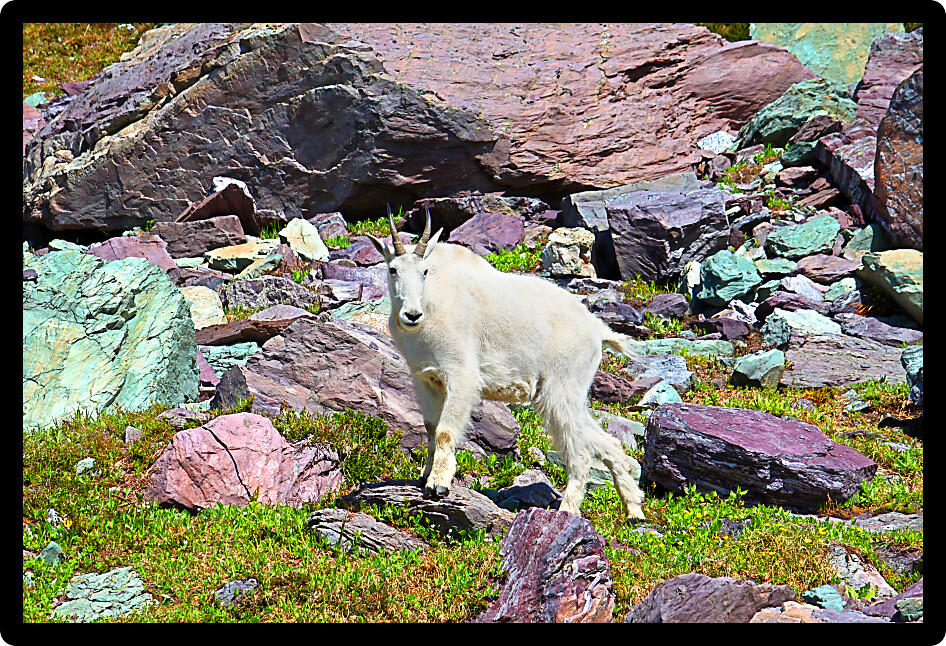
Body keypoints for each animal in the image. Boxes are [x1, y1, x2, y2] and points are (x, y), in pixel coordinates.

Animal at [367, 206, 646, 520]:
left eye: (424, 272)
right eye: (392, 270)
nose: (412, 315)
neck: (431, 308)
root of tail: (597, 330)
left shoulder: (461, 375)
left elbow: (445, 431)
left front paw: (438, 485)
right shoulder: (425, 379)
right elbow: (429, 428)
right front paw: (424, 476)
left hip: (561, 389)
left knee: (581, 454)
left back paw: (566, 512)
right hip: (568, 395)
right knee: (607, 443)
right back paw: (634, 510)